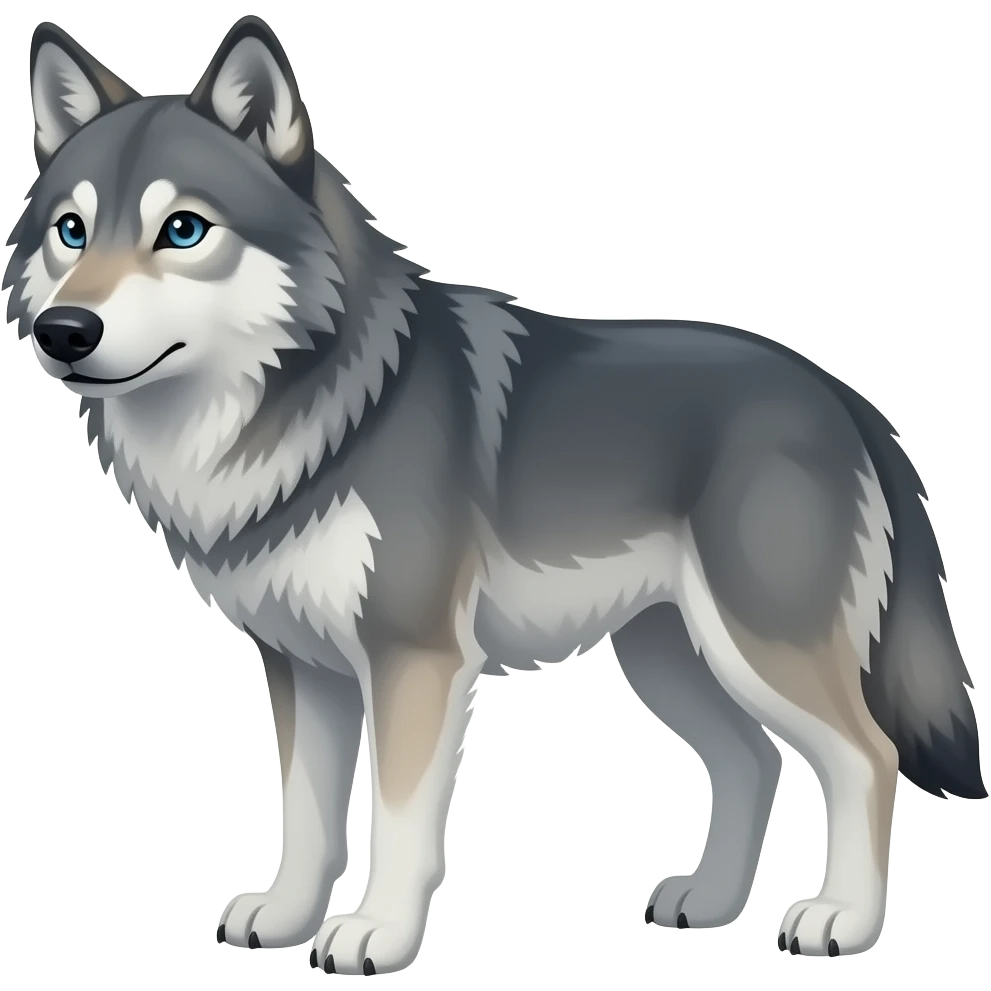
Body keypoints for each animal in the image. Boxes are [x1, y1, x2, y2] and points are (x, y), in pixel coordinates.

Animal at [4, 13, 985, 975]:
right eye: (71, 232)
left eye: (181, 230)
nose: (64, 330)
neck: (313, 409)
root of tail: (842, 396)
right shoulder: (303, 667)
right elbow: (309, 816)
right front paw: (285, 917)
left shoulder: (416, 658)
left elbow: (399, 818)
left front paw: (375, 933)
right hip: (670, 657)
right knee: (752, 760)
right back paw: (707, 903)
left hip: (756, 647)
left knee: (866, 756)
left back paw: (840, 921)